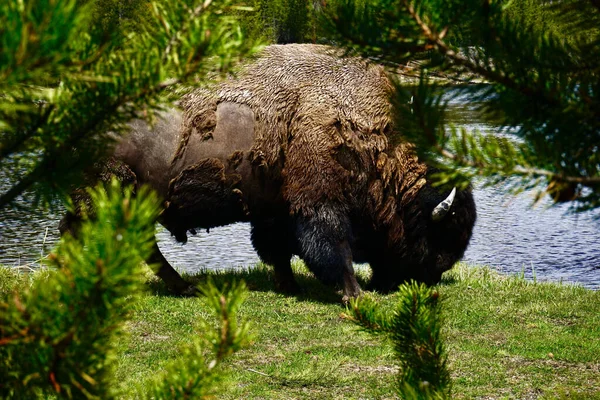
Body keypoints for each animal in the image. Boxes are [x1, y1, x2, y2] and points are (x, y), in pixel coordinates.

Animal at [62, 44, 478, 300]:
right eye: (439, 234)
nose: (427, 279)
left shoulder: (274, 209)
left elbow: (277, 248)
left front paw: (288, 286)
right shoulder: (317, 202)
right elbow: (330, 246)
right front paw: (353, 294)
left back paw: (182, 288)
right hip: (109, 192)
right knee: (85, 232)